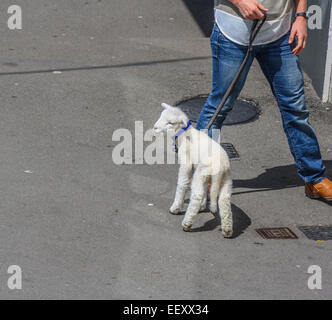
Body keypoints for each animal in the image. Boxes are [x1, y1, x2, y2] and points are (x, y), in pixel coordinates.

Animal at [154, 102, 233, 238]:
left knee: (197, 195)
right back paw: (227, 230)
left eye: (170, 123)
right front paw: (203, 206)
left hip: (203, 173)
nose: (155, 128)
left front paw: (176, 207)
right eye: (161, 116)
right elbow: (206, 188)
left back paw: (187, 223)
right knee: (224, 200)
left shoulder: (186, 164)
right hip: (225, 179)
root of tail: (220, 167)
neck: (183, 135)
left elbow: (182, 183)